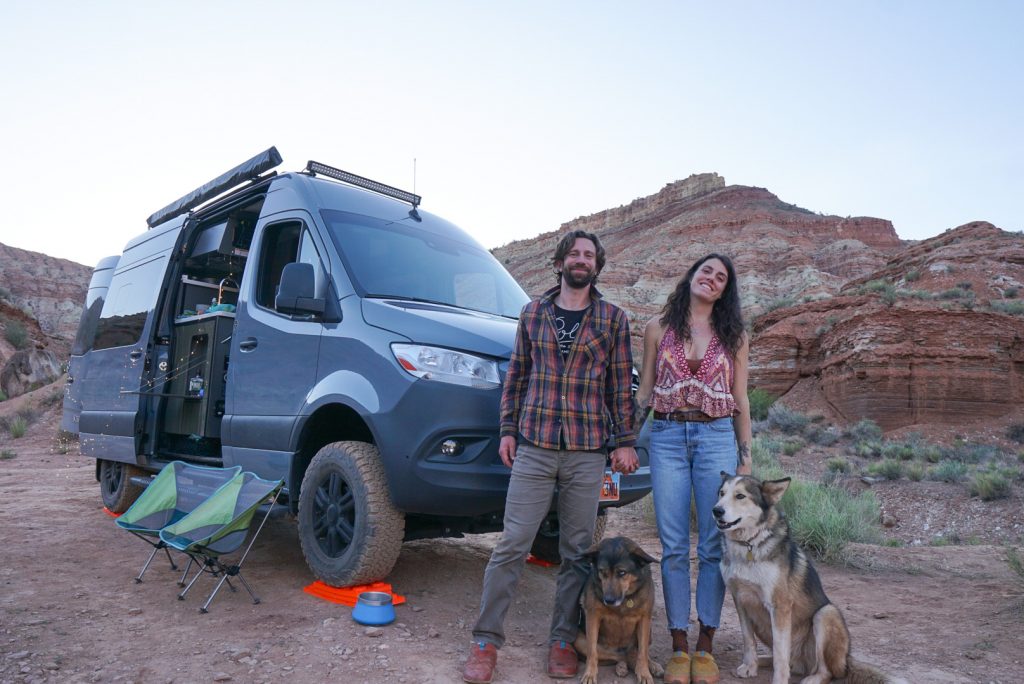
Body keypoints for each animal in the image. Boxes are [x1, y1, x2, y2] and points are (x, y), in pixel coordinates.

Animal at [573, 536, 667, 679]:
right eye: (602, 572)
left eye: (622, 572)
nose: (608, 600)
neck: (624, 600)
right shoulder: (593, 617)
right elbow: (592, 653)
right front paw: (590, 674)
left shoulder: (645, 619)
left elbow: (643, 653)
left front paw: (644, 673)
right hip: (579, 640)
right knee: (621, 656)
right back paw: (623, 666)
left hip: (649, 631)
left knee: (636, 652)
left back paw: (651, 665)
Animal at [712, 475, 905, 684]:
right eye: (721, 493)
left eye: (740, 496)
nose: (716, 510)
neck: (748, 545)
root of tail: (847, 659)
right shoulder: (740, 600)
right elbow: (749, 641)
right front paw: (750, 667)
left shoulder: (780, 605)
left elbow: (780, 654)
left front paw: (779, 680)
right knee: (788, 661)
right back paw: (764, 660)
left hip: (825, 614)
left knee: (826, 671)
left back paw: (812, 678)